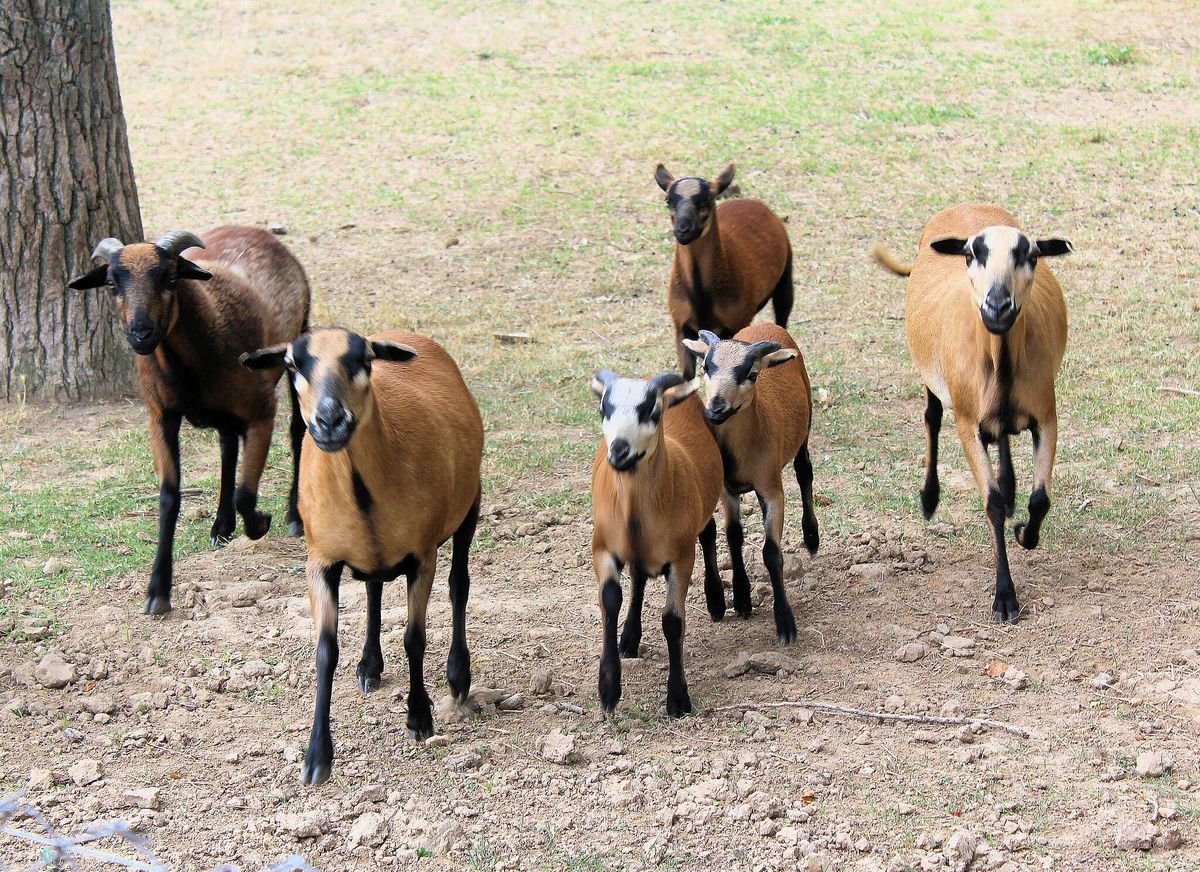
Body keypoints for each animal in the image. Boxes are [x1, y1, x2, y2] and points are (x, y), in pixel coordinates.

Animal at [238, 326, 482, 786]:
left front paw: (419, 717)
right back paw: (370, 665)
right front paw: (316, 756)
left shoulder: (423, 556)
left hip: (470, 502)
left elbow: (415, 638)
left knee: (459, 584)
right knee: (373, 590)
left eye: (364, 361)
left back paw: (458, 676)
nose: (330, 421)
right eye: (292, 365)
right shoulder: (320, 563)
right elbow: (325, 651)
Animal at [590, 369, 720, 714]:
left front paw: (678, 698)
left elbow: (672, 622)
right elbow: (610, 600)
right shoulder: (602, 548)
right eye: (603, 409)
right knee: (637, 579)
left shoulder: (681, 557)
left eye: (652, 412)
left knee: (710, 535)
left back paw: (717, 600)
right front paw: (609, 688)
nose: (619, 450)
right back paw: (629, 639)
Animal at [652, 161, 792, 381]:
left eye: (708, 200)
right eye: (668, 200)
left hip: (785, 280)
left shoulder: (735, 325)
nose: (683, 230)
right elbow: (687, 377)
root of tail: (750, 202)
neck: (701, 296)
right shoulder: (681, 328)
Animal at [681, 323, 820, 642]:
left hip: (805, 425)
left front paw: (785, 624)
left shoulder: (771, 489)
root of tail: (766, 324)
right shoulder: (725, 491)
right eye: (706, 367)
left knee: (804, 472)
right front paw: (736, 600)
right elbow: (732, 535)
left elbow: (771, 553)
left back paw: (811, 536)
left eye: (752, 374)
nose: (715, 409)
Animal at [868, 202, 1075, 628]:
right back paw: (929, 499)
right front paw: (1005, 598)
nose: (998, 307)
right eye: (970, 255)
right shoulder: (967, 423)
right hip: (932, 378)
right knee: (931, 417)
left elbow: (1040, 499)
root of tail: (964, 207)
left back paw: (1010, 488)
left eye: (1030, 256)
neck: (1000, 360)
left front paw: (1023, 532)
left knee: (1002, 437)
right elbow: (991, 503)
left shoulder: (1046, 417)